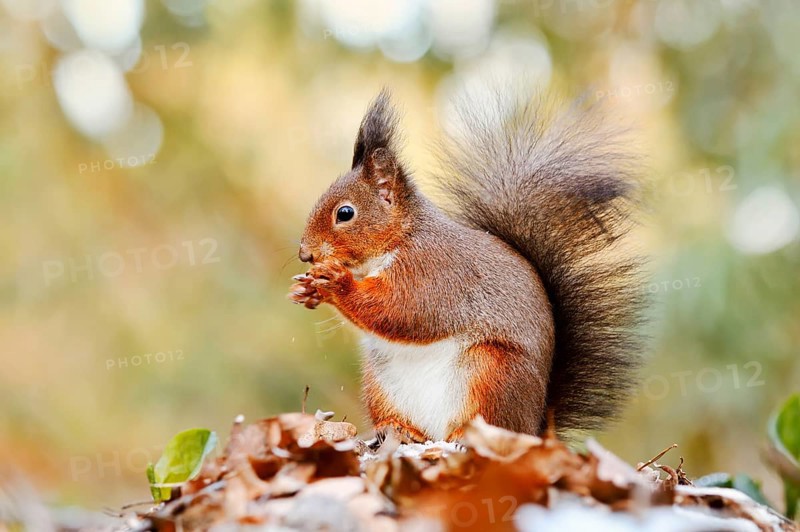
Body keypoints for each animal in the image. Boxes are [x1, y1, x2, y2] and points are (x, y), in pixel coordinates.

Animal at [289, 88, 645, 443]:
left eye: (345, 213)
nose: (306, 254)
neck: (399, 238)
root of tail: (535, 428)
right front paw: (305, 290)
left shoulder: (433, 270)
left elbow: (405, 309)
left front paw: (337, 282)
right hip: (381, 383)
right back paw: (399, 428)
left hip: (490, 371)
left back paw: (465, 434)